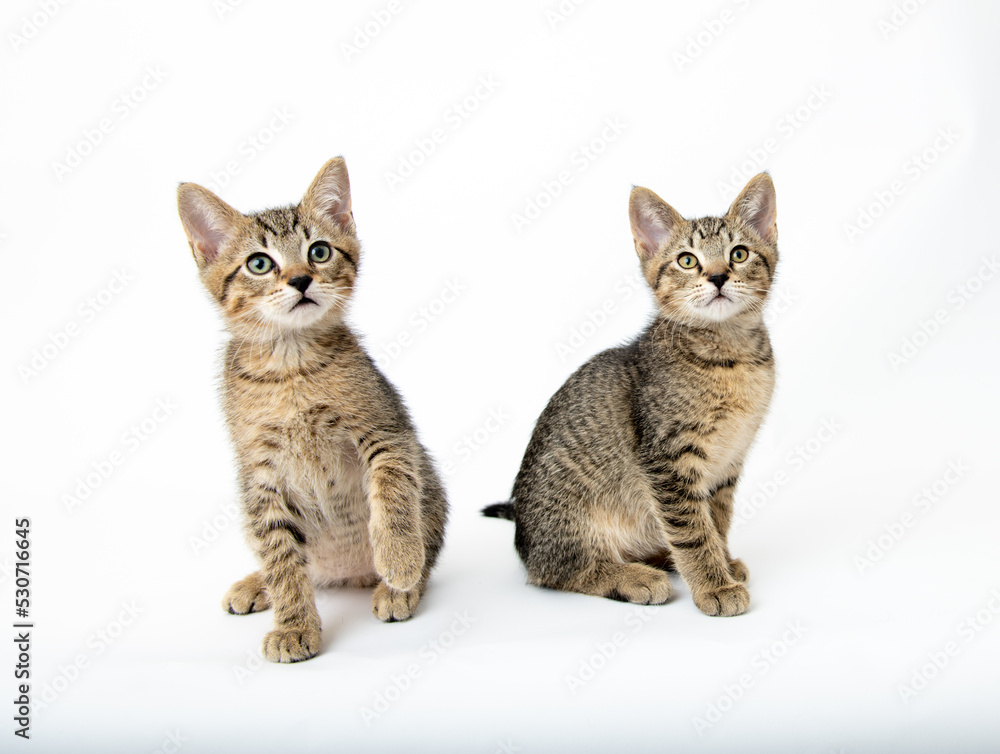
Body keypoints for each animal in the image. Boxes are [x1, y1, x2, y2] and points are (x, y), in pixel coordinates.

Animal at [178, 157, 448, 656]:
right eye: (259, 263)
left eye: (319, 252)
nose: (301, 279)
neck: (291, 367)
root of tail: (344, 575)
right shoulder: (259, 475)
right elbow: (282, 559)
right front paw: (294, 625)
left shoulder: (386, 430)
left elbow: (393, 497)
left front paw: (399, 560)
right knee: (296, 565)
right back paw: (256, 584)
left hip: (432, 491)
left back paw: (397, 587)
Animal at [486, 173, 780, 612]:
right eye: (687, 260)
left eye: (739, 253)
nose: (718, 277)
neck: (729, 354)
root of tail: (523, 530)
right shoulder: (667, 461)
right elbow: (692, 530)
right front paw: (714, 585)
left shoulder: (727, 462)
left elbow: (715, 520)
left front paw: (722, 563)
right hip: (571, 513)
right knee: (556, 570)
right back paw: (632, 577)